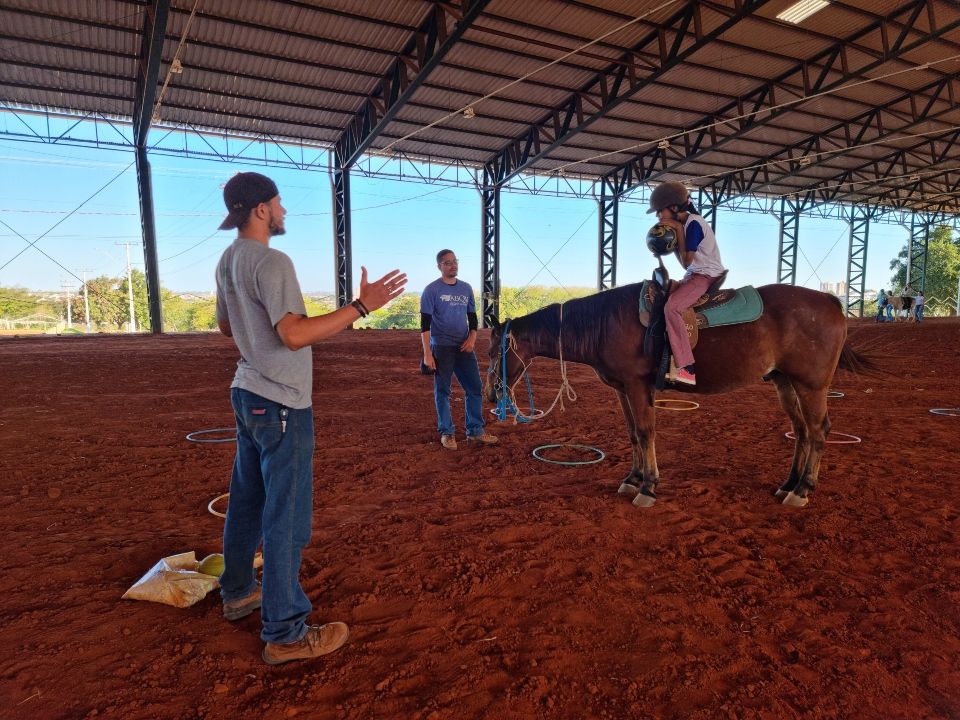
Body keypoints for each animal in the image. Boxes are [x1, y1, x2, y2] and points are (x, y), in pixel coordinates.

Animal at [484, 278, 872, 510]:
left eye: (494, 352)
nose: (490, 394)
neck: (606, 323)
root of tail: (830, 301)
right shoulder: (624, 390)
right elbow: (633, 434)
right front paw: (633, 480)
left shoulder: (637, 386)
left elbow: (645, 432)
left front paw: (648, 487)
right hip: (785, 382)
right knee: (802, 431)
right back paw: (788, 485)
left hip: (812, 386)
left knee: (819, 431)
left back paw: (803, 490)